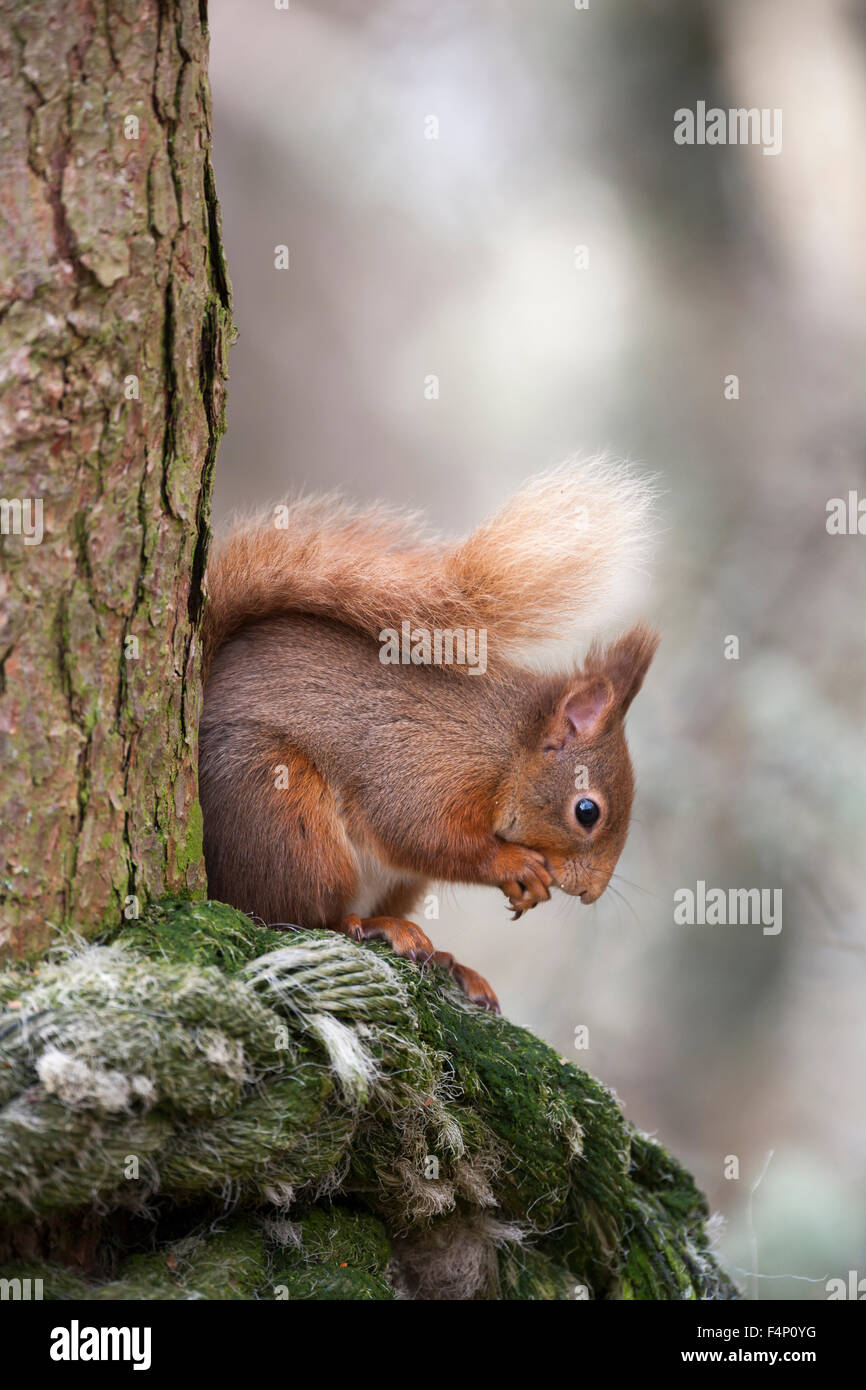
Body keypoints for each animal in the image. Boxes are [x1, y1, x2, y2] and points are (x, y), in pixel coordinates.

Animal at [198, 455, 656, 1011]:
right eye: (587, 812)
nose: (591, 892)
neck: (509, 748)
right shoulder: (428, 767)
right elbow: (418, 833)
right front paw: (514, 865)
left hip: (393, 880)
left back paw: (452, 962)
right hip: (284, 812)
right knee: (296, 917)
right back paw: (373, 925)